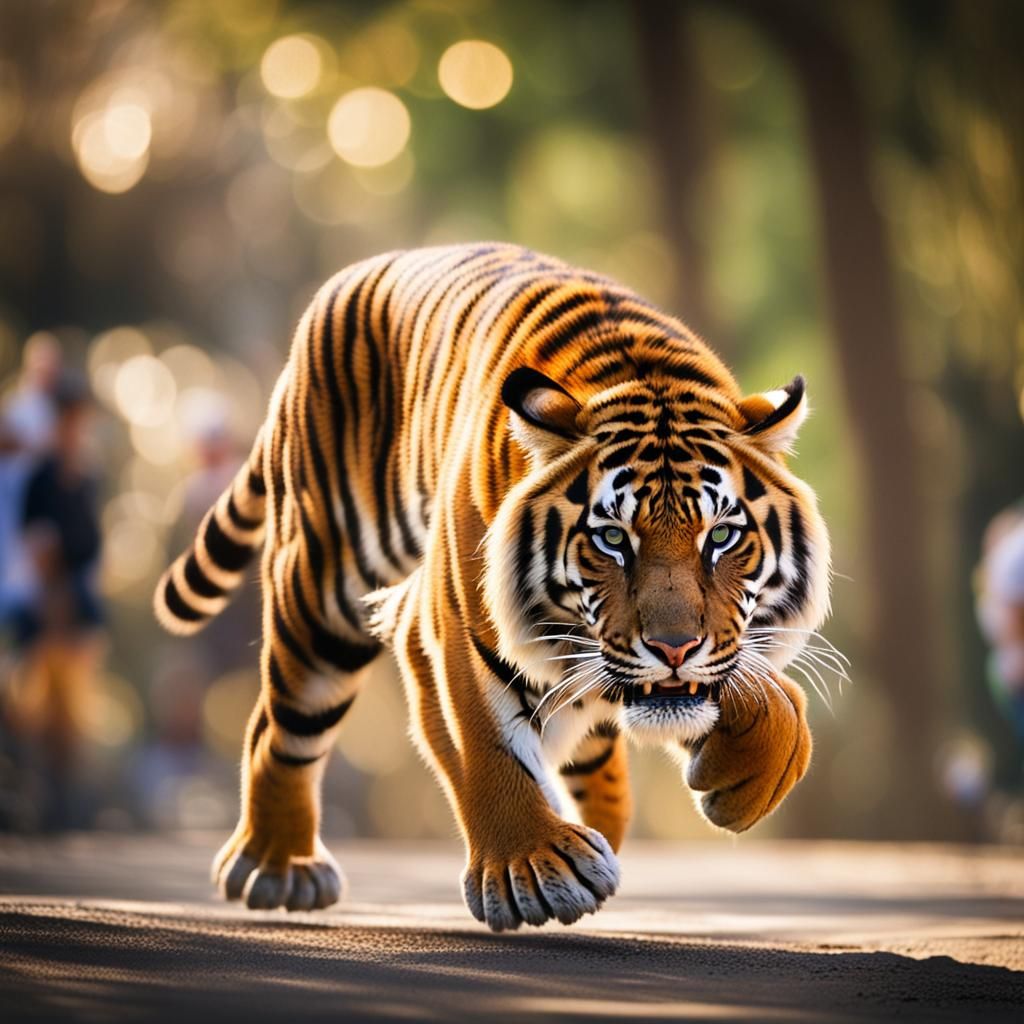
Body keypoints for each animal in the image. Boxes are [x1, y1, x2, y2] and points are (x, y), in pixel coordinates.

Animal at [154, 243, 831, 931]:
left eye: (720, 536)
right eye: (612, 538)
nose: (674, 648)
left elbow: (774, 706)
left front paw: (748, 775)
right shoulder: (447, 625)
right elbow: (484, 741)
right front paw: (532, 867)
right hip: (320, 590)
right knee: (281, 726)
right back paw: (278, 864)